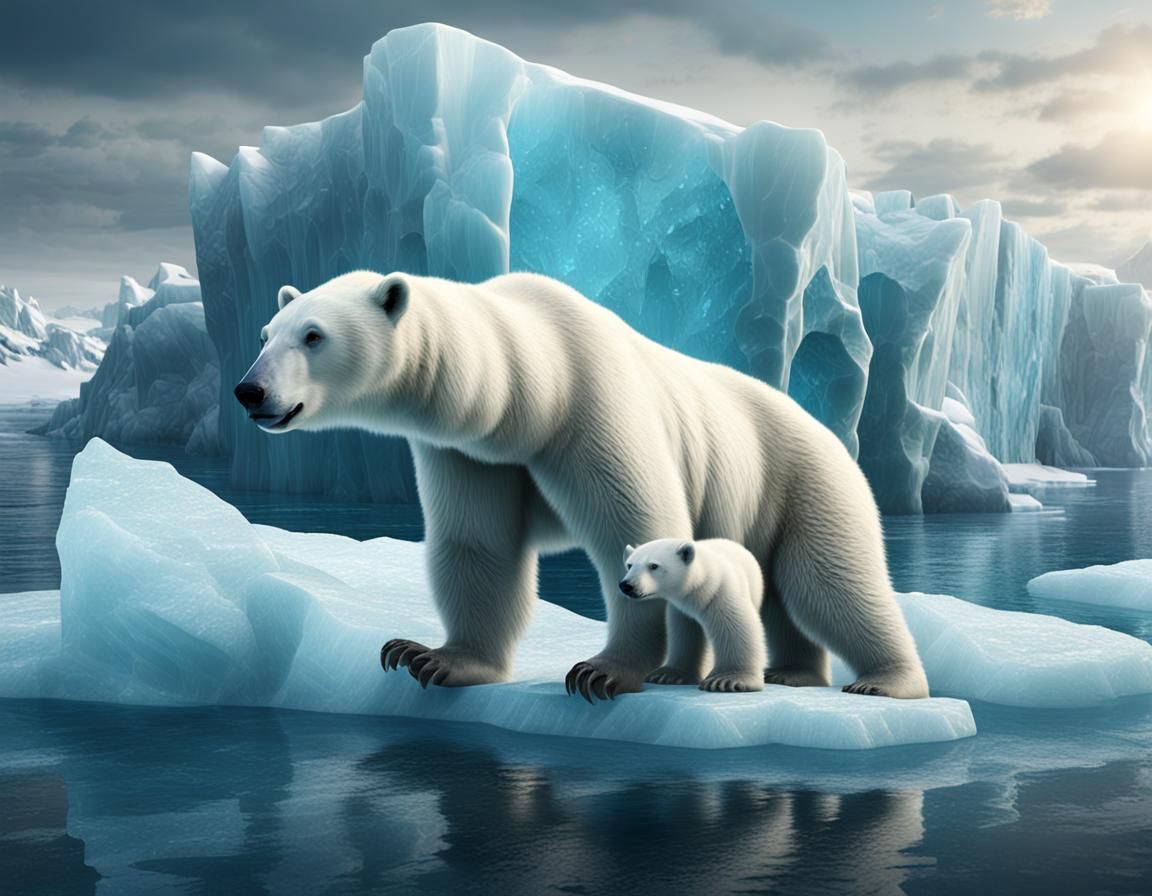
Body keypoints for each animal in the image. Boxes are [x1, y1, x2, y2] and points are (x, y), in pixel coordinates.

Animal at [622, 539, 766, 693]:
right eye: (629, 565)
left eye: (653, 565)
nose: (626, 585)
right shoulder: (681, 609)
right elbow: (684, 634)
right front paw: (669, 675)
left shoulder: (721, 592)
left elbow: (735, 627)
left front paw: (726, 680)